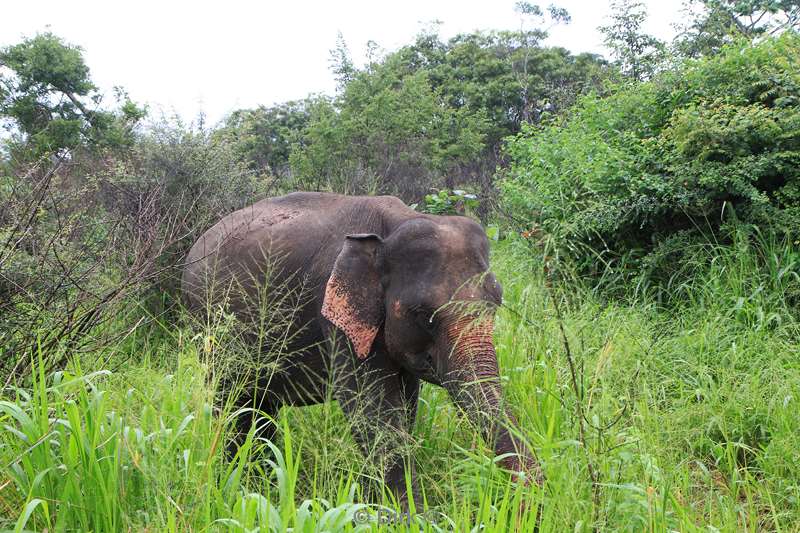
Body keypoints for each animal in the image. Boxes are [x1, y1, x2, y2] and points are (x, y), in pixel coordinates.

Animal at [181, 190, 544, 502]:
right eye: (423, 315)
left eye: (496, 302)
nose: (532, 504)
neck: (396, 224)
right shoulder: (336, 317)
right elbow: (372, 410)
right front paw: (409, 516)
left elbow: (404, 404)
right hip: (210, 325)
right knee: (233, 402)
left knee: (259, 406)